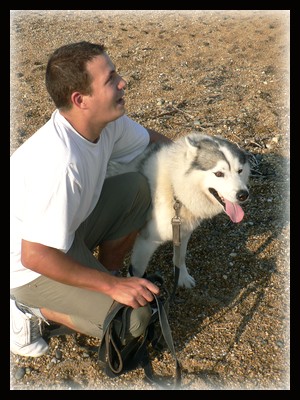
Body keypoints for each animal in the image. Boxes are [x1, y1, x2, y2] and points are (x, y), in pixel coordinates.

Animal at [106, 133, 250, 290]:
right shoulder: (146, 242)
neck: (175, 190)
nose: (243, 195)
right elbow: (137, 273)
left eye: (240, 171)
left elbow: (179, 258)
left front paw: (182, 278)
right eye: (218, 173)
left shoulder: (183, 233)